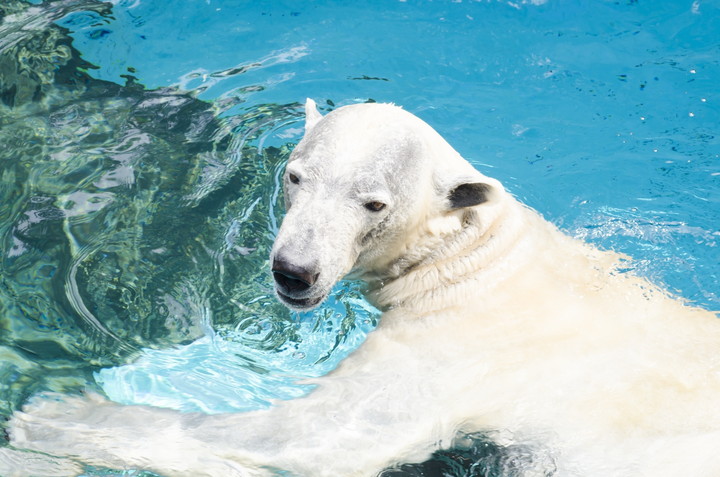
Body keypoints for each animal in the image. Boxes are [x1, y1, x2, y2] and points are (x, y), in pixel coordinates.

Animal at [8, 98, 720, 474]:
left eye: (373, 203)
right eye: (295, 175)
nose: (294, 270)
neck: (474, 263)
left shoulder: (449, 351)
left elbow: (316, 436)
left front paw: (54, 416)